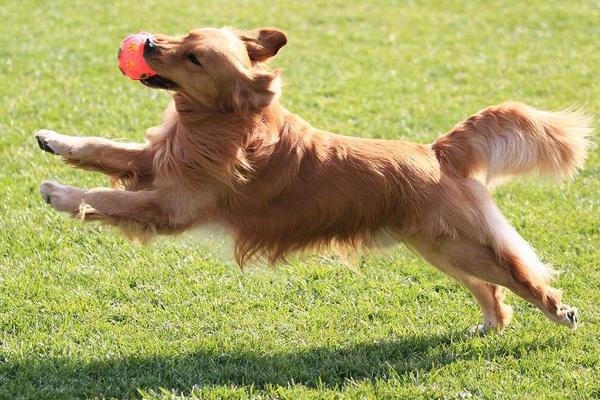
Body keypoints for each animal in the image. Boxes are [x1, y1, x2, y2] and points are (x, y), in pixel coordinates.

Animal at [35, 27, 592, 332]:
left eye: (194, 57)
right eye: (184, 36)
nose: (147, 42)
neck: (220, 121)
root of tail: (436, 152)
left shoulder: (171, 204)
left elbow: (106, 197)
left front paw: (59, 193)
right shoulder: (159, 162)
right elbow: (105, 149)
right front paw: (53, 139)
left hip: (461, 244)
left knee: (521, 276)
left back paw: (560, 312)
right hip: (440, 248)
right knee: (490, 290)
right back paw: (492, 324)